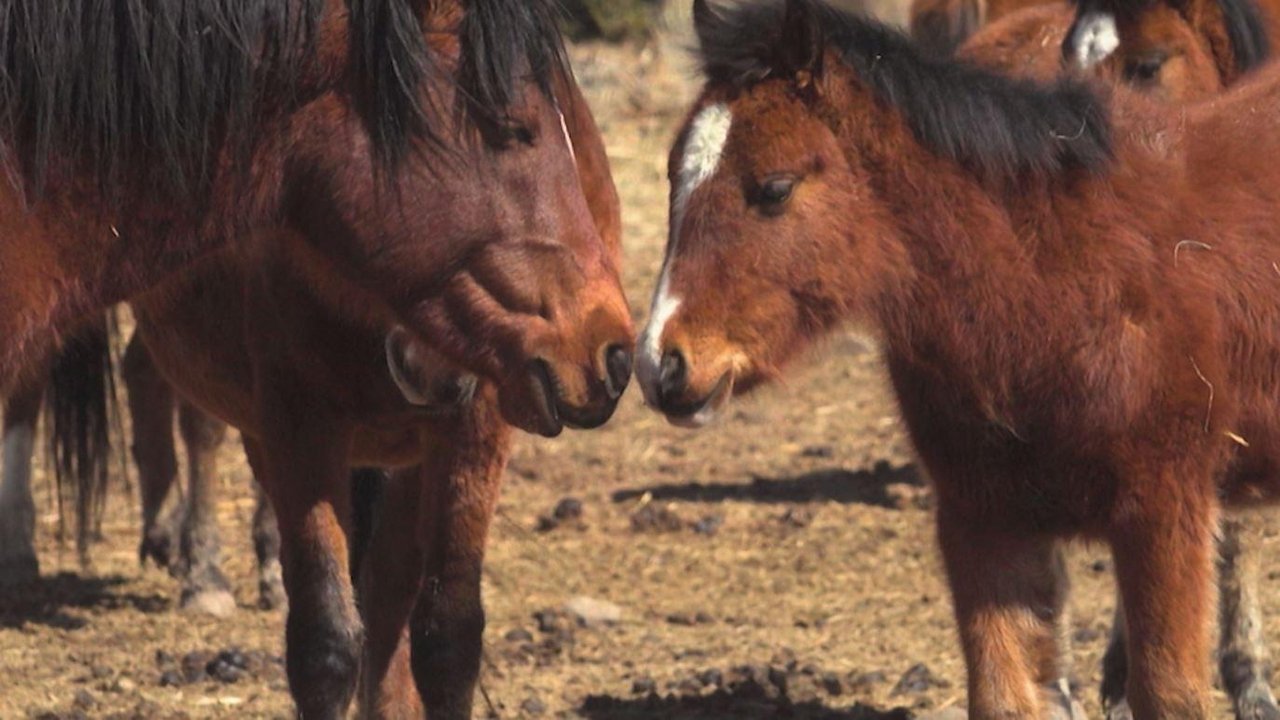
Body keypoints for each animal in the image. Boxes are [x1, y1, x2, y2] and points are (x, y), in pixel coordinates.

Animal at [112, 2, 626, 716]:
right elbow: (326, 640)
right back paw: (201, 568)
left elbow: (446, 635)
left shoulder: (473, 428)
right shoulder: (299, 424)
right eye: (507, 130)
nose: (610, 356)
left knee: (389, 594)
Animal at [639, 0, 1280, 716]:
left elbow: (1171, 691)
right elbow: (1003, 694)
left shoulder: (1165, 509)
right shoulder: (982, 521)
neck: (1050, 281)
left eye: (774, 188)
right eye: (673, 175)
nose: (663, 365)